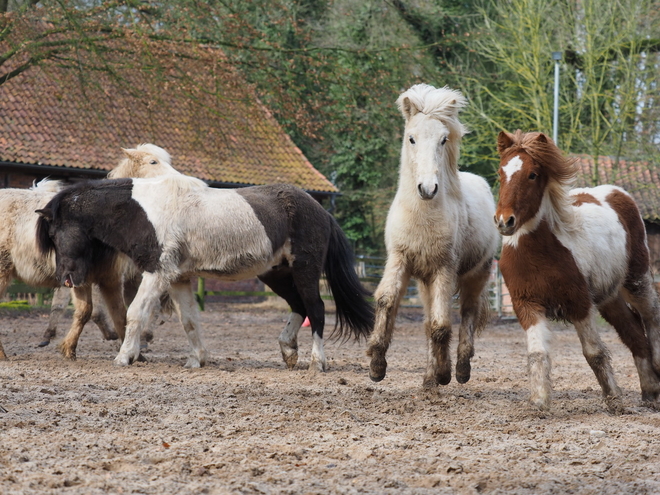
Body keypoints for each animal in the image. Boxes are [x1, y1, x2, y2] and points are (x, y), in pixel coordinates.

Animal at [36, 170, 374, 372]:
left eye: (53, 233)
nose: (66, 278)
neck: (143, 211)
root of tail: (321, 211)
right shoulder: (179, 278)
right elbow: (189, 321)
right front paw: (197, 359)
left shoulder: (156, 272)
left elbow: (135, 313)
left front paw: (124, 356)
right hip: (276, 273)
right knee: (298, 306)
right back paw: (288, 352)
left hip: (304, 269)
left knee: (315, 309)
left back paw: (317, 361)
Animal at [364, 84, 498, 388]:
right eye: (411, 138)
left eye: (443, 139)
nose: (427, 188)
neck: (422, 216)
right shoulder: (399, 259)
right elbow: (387, 301)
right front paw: (377, 365)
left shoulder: (444, 269)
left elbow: (441, 325)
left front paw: (445, 374)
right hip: (425, 281)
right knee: (428, 321)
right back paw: (428, 378)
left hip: (476, 274)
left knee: (466, 314)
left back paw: (459, 370)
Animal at [496, 130, 660, 412]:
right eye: (500, 172)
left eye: (532, 174)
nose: (505, 221)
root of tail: (618, 193)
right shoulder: (526, 305)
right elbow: (537, 353)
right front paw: (539, 401)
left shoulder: (579, 302)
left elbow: (594, 352)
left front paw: (614, 400)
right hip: (608, 297)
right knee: (634, 334)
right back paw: (650, 391)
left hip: (636, 280)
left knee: (651, 316)